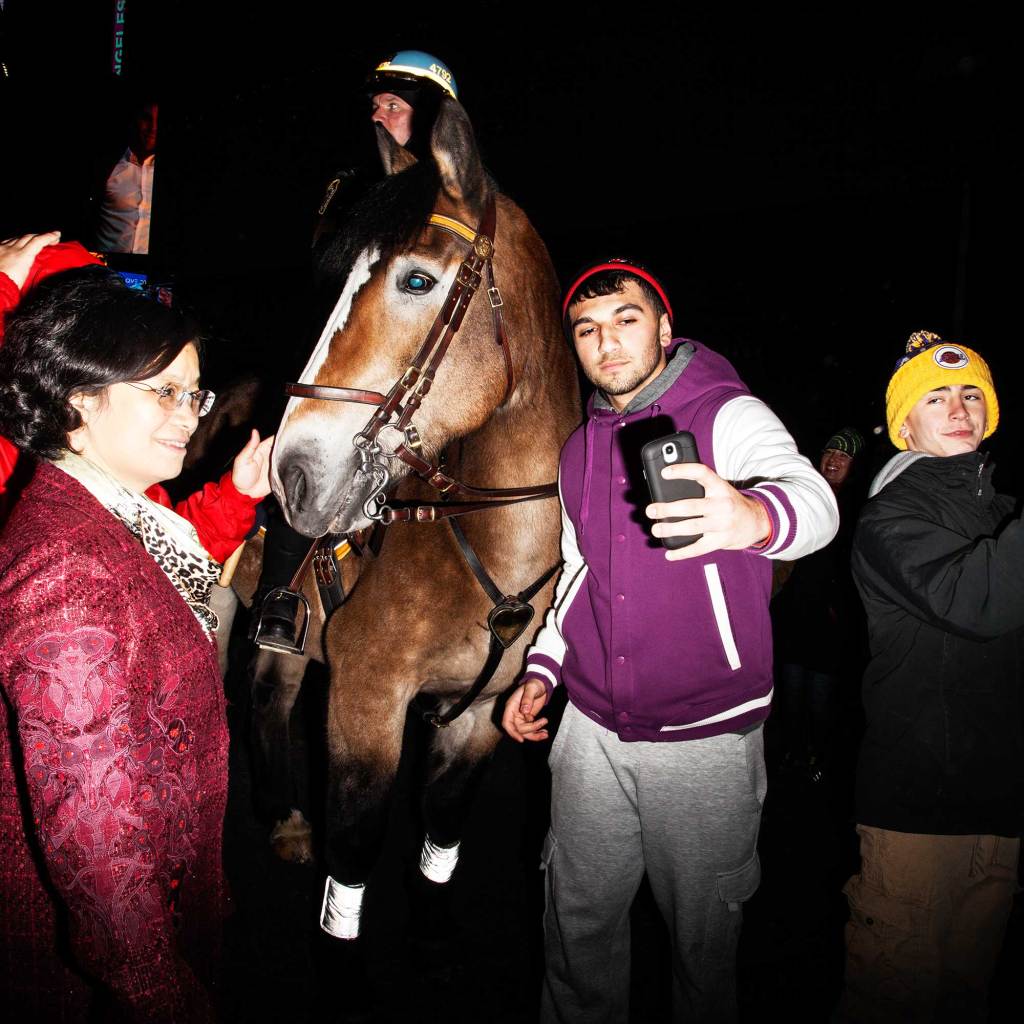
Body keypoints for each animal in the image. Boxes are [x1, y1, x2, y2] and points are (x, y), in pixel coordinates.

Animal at [254, 97, 581, 942]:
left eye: (416, 279)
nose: (292, 471)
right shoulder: (365, 705)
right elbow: (352, 862)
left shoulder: (480, 718)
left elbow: (440, 838)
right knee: (270, 702)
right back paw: (286, 820)